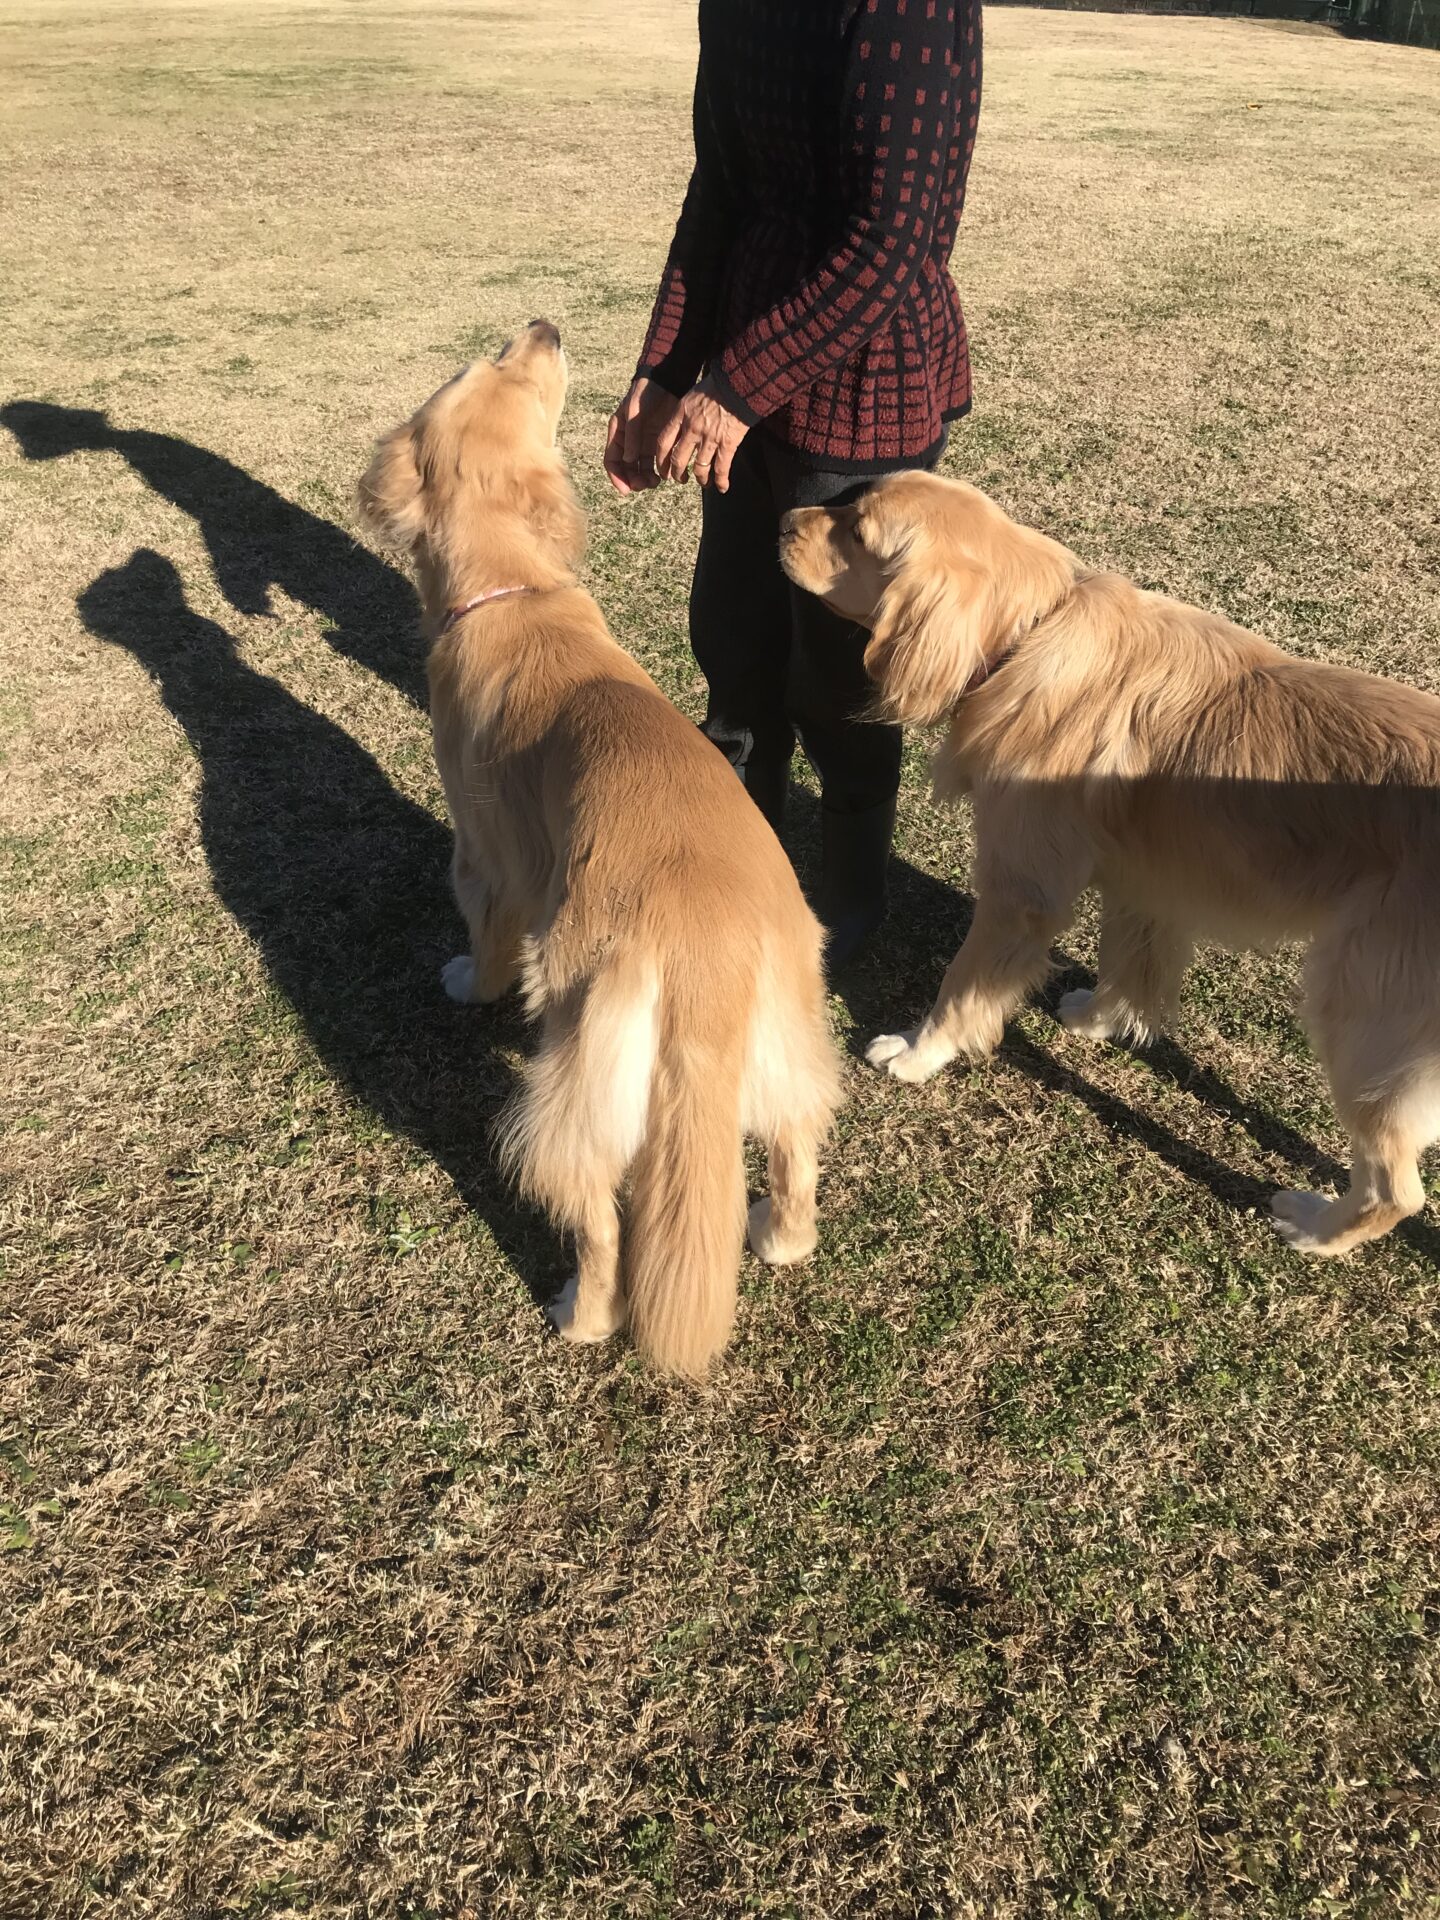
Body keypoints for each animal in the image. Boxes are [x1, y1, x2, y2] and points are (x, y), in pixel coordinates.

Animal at [359, 322, 840, 1373]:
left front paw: (467, 982)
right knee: (796, 1148)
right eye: (504, 369)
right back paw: (776, 1235)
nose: (544, 326)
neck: (515, 592)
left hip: (577, 1076)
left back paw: (579, 1312)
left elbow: (483, 927)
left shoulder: (486, 852)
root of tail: (708, 949)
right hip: (790, 1034)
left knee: (604, 1225)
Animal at [780, 471, 1440, 1256]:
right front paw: (1100, 1020)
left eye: (857, 531)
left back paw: (1317, 1229)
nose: (781, 520)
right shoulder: (1144, 878)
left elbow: (960, 988)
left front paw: (916, 1054)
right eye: (847, 501)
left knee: (1397, 1187)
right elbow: (1130, 961)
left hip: (1364, 1010)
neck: (1027, 634)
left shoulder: (1018, 893)